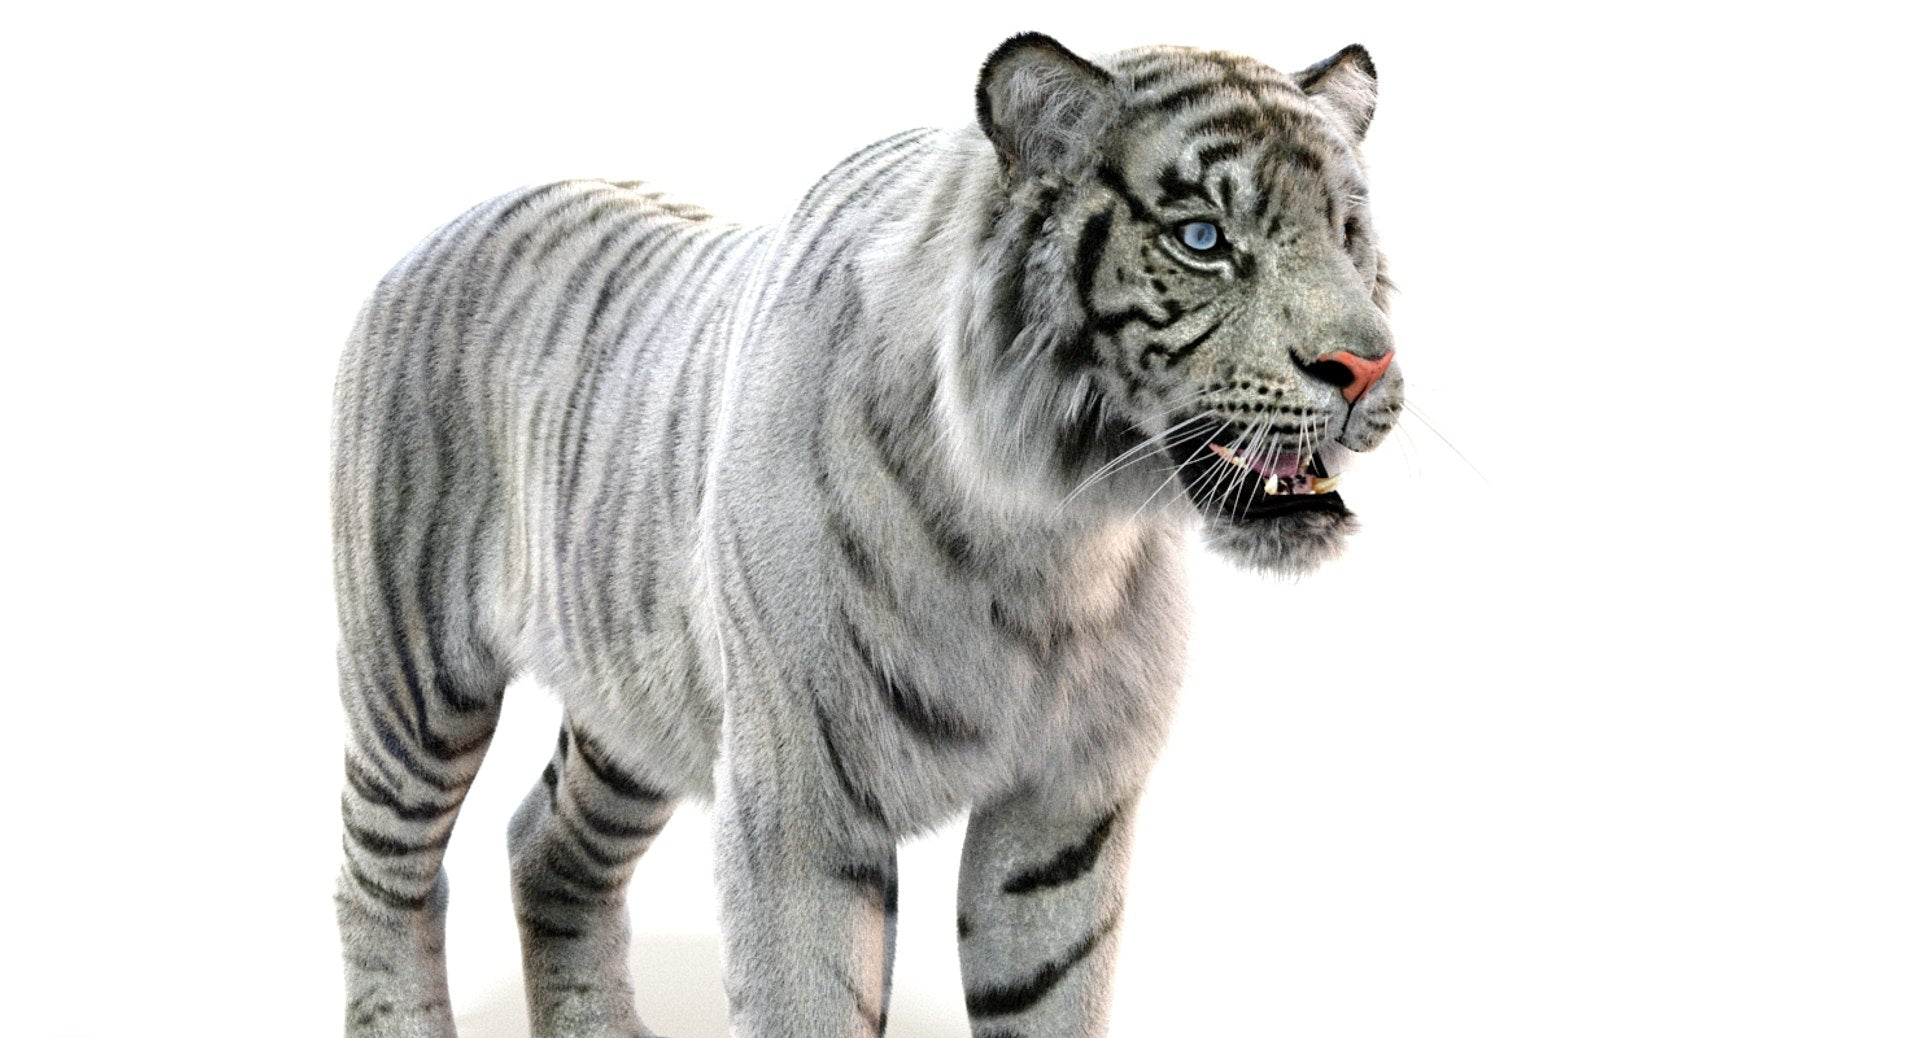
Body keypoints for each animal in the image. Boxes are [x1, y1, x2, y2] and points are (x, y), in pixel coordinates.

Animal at [331, 31, 1400, 1038]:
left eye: (1349, 233)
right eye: (1203, 238)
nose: (1366, 366)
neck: (1054, 540)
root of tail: (447, 223)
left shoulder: (1064, 810)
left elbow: (1048, 994)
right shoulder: (801, 808)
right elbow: (808, 999)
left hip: (633, 708)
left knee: (545, 845)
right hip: (414, 680)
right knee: (379, 879)